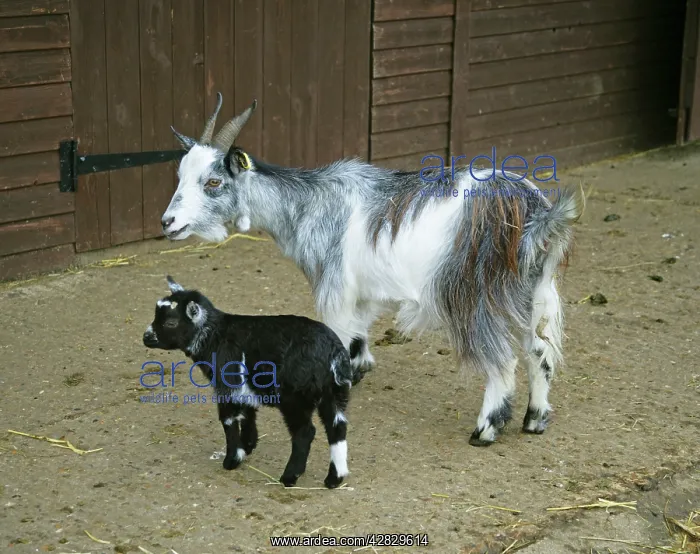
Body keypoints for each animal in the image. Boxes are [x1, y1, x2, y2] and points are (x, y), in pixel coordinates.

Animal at [142, 275, 353, 488]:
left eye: (171, 322)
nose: (146, 337)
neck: (215, 336)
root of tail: (332, 353)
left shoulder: (227, 386)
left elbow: (229, 420)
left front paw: (232, 460)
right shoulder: (244, 388)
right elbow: (247, 413)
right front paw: (248, 445)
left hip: (294, 396)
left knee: (305, 432)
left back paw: (289, 476)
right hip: (335, 392)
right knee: (337, 428)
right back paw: (335, 478)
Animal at [162, 93, 583, 446]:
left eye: (213, 181)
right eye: (180, 177)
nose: (168, 222)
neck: (308, 204)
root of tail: (536, 213)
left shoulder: (333, 288)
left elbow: (338, 332)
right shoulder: (361, 292)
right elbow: (358, 333)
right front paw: (358, 368)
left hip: (473, 296)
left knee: (502, 360)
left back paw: (486, 429)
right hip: (535, 292)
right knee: (539, 351)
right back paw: (535, 419)